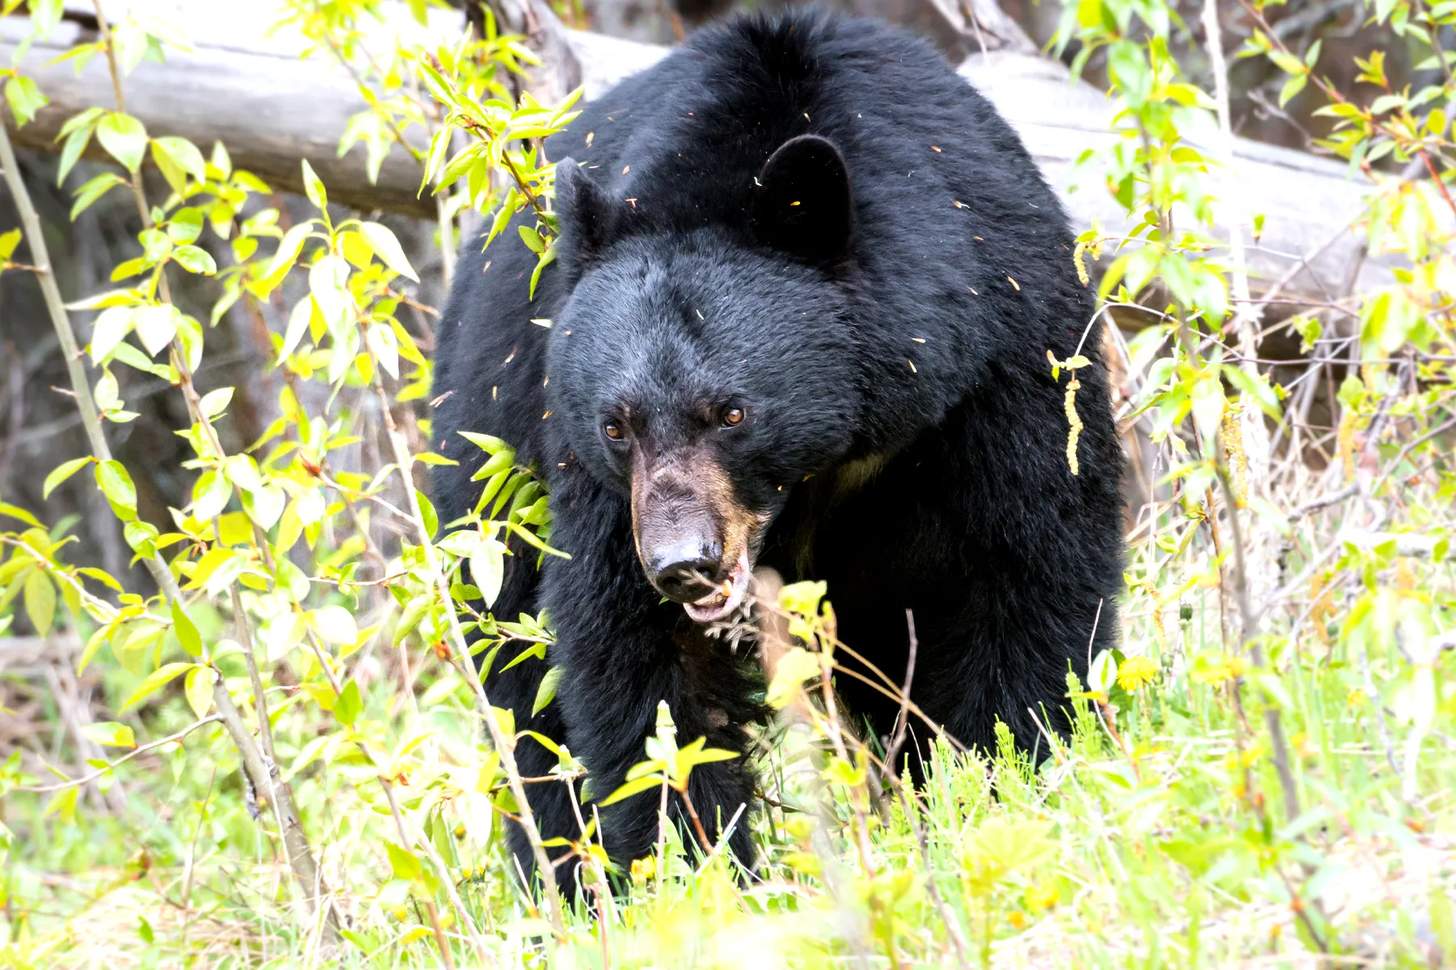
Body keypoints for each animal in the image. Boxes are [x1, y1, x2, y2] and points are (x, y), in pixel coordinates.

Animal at [431, 8, 1123, 894]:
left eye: (731, 412)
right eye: (618, 425)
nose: (682, 564)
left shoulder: (999, 351)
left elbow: (1024, 557)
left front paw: (1004, 777)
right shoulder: (586, 472)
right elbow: (638, 661)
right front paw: (697, 865)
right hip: (486, 483)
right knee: (523, 691)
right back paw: (567, 879)